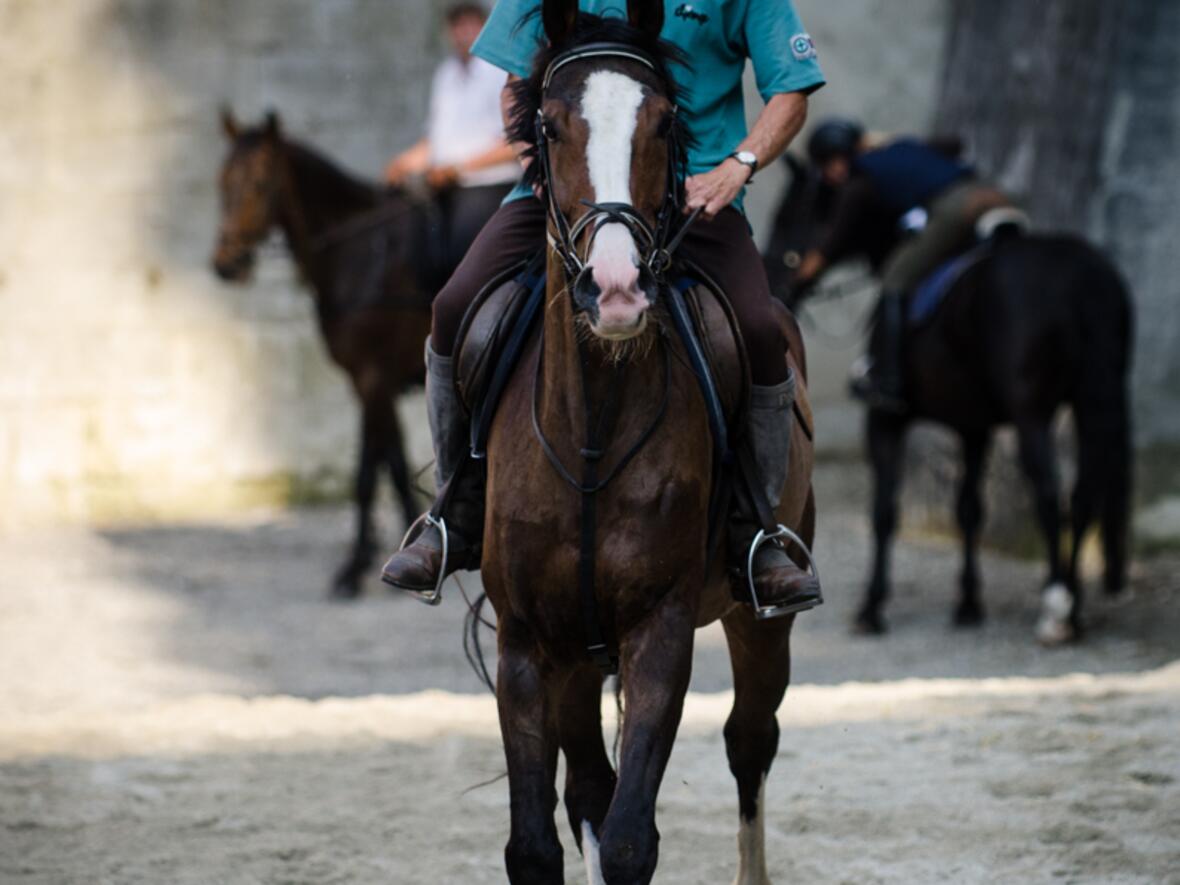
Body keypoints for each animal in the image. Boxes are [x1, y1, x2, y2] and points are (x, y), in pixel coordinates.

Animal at [214, 109, 431, 597]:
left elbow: (369, 472)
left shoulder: (373, 376)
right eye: (221, 181)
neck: (362, 257)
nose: (226, 265)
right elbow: (392, 461)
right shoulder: (369, 380)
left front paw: (354, 568)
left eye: (260, 183)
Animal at [764, 158, 1132, 646]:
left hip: (1032, 414)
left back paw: (1055, 608)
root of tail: (1083, 280)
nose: (773, 280)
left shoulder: (885, 421)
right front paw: (968, 604)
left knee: (1051, 494)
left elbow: (884, 512)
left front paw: (872, 607)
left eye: (789, 215)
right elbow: (969, 510)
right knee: (1085, 494)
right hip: (1094, 399)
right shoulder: (972, 429)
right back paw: (1073, 605)